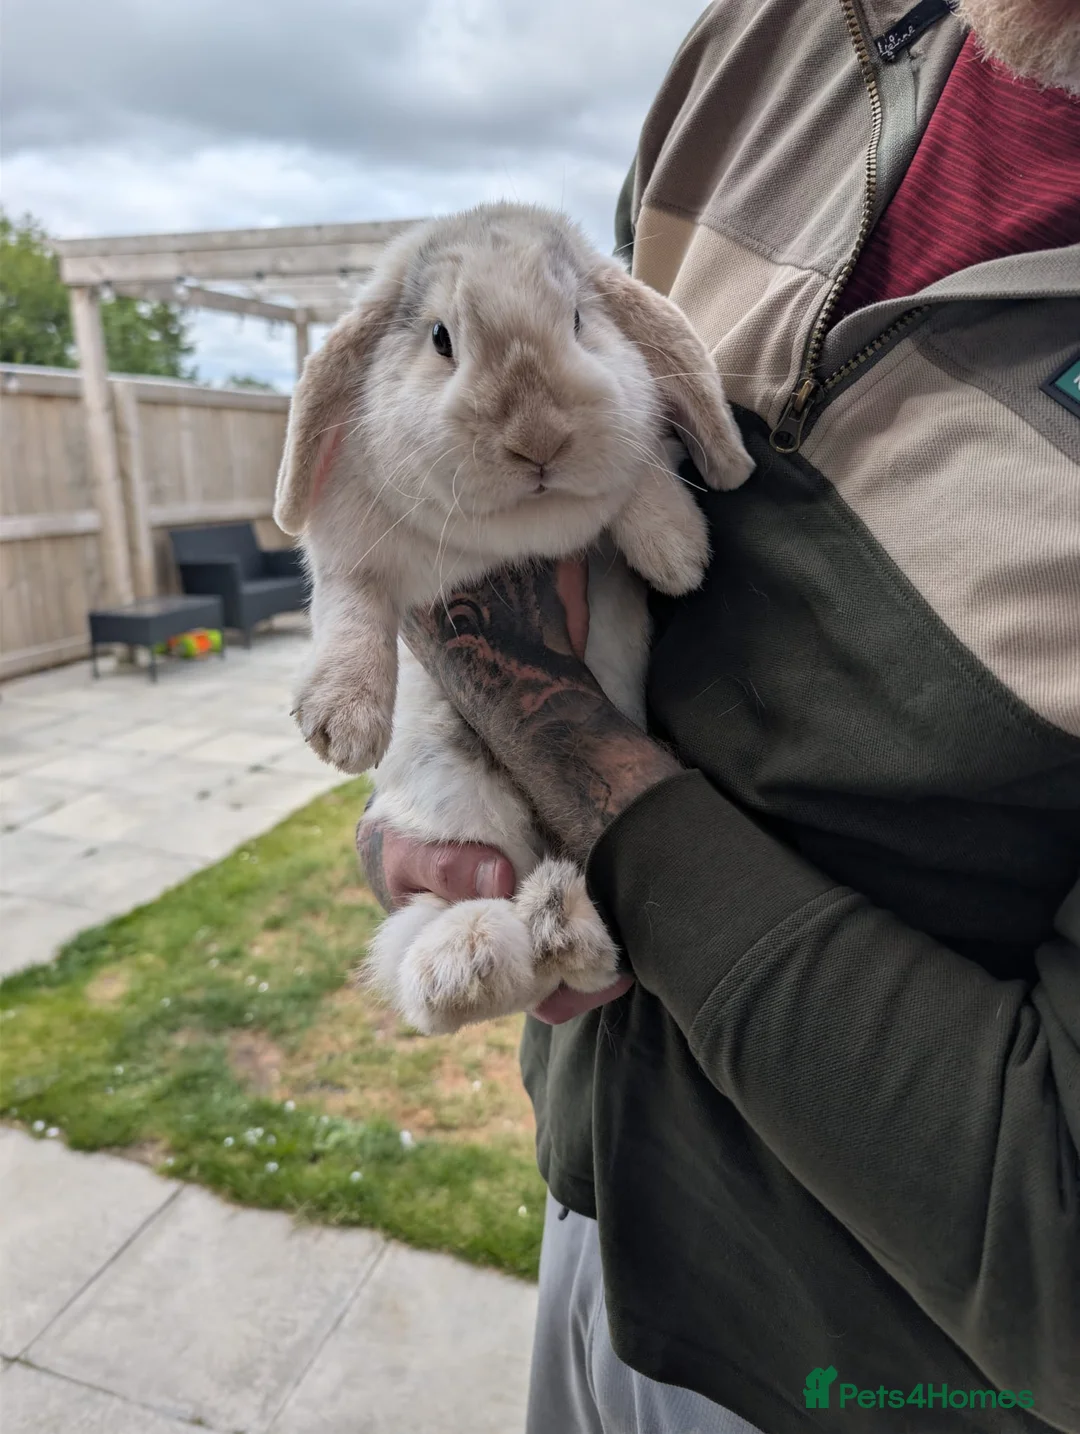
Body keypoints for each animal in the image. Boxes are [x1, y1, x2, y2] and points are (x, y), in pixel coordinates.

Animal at [273, 202, 753, 1034]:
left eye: (580, 320)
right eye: (441, 338)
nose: (538, 438)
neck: (519, 532)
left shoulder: (635, 452)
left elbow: (638, 475)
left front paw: (677, 551)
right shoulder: (348, 545)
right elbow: (350, 606)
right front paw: (342, 723)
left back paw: (565, 928)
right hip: (455, 810)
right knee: (427, 951)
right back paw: (475, 959)